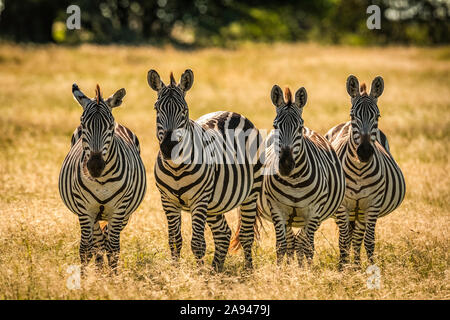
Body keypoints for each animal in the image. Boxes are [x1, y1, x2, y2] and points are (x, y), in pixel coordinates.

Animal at [59, 83, 147, 272]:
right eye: (83, 123)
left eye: (109, 126)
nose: (95, 166)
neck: (101, 181)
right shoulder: (84, 209)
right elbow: (86, 248)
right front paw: (86, 278)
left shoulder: (119, 209)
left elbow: (113, 249)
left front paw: (113, 277)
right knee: (97, 242)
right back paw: (99, 272)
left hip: (125, 213)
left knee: (105, 240)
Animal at [147, 69, 264, 272]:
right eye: (156, 109)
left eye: (184, 110)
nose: (169, 147)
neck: (176, 168)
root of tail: (233, 112)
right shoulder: (167, 200)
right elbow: (174, 240)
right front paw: (176, 272)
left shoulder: (199, 200)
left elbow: (198, 243)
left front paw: (200, 274)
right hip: (214, 203)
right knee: (223, 234)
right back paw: (216, 270)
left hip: (251, 192)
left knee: (246, 235)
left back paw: (248, 271)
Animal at [253, 84, 344, 264]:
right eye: (275, 126)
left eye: (299, 127)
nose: (286, 165)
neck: (294, 181)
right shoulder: (277, 209)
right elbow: (281, 246)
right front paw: (282, 270)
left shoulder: (314, 211)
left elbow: (305, 246)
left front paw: (304, 270)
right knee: (290, 242)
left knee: (303, 243)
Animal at [326, 75, 406, 268]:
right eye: (353, 115)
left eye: (377, 116)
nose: (364, 152)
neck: (359, 171)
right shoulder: (342, 205)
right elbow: (343, 240)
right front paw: (342, 268)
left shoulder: (372, 204)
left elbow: (368, 241)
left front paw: (368, 267)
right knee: (349, 237)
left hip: (360, 210)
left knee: (357, 238)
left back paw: (355, 265)